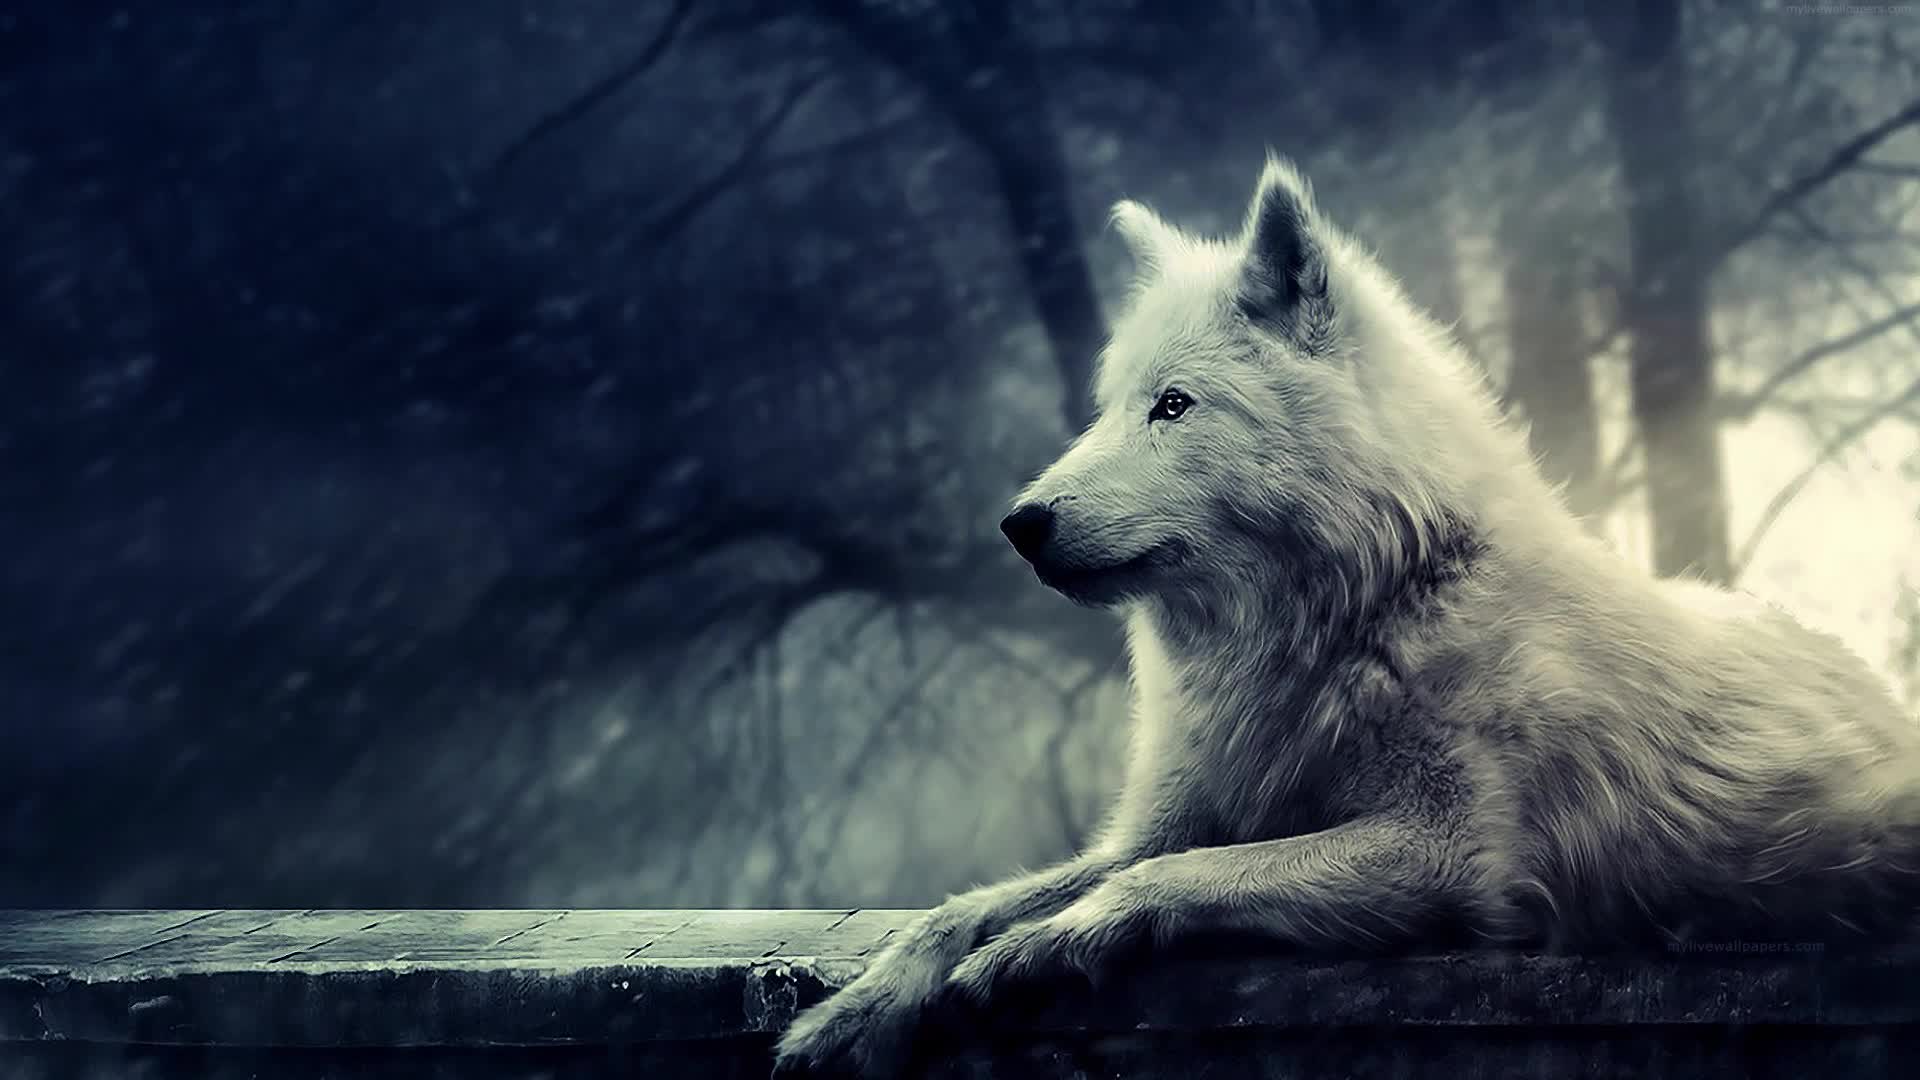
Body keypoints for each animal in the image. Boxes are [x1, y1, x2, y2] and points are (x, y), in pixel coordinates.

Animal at [774, 155, 1920, 1077]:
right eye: (1107, 409)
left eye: (1173, 406)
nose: (1019, 523)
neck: (1354, 619)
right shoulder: (1169, 815)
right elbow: (966, 905)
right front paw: (856, 1011)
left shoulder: (1455, 859)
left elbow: (1176, 876)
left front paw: (1037, 949)